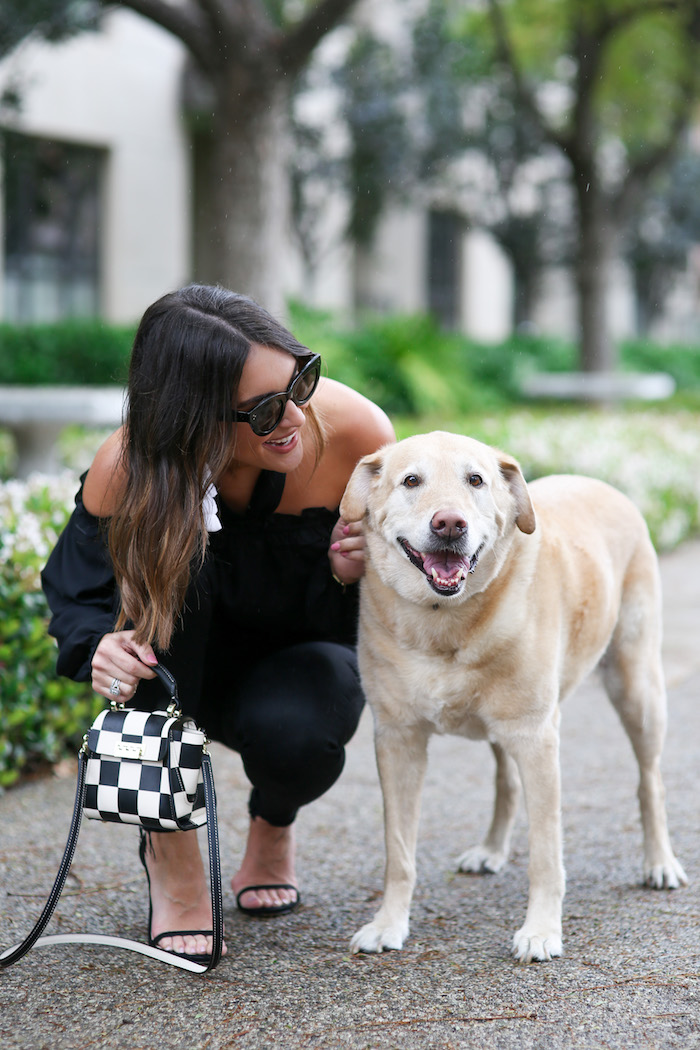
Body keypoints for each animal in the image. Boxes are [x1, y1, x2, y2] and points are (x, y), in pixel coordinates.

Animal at [342, 430, 688, 961]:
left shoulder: (536, 737)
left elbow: (545, 853)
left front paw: (541, 930)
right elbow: (398, 852)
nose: (449, 523)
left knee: (650, 781)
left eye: (476, 480)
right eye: (411, 480)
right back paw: (490, 850)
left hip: (637, 690)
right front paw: (388, 923)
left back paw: (660, 862)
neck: (444, 621)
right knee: (505, 781)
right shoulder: (398, 739)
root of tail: (599, 482)